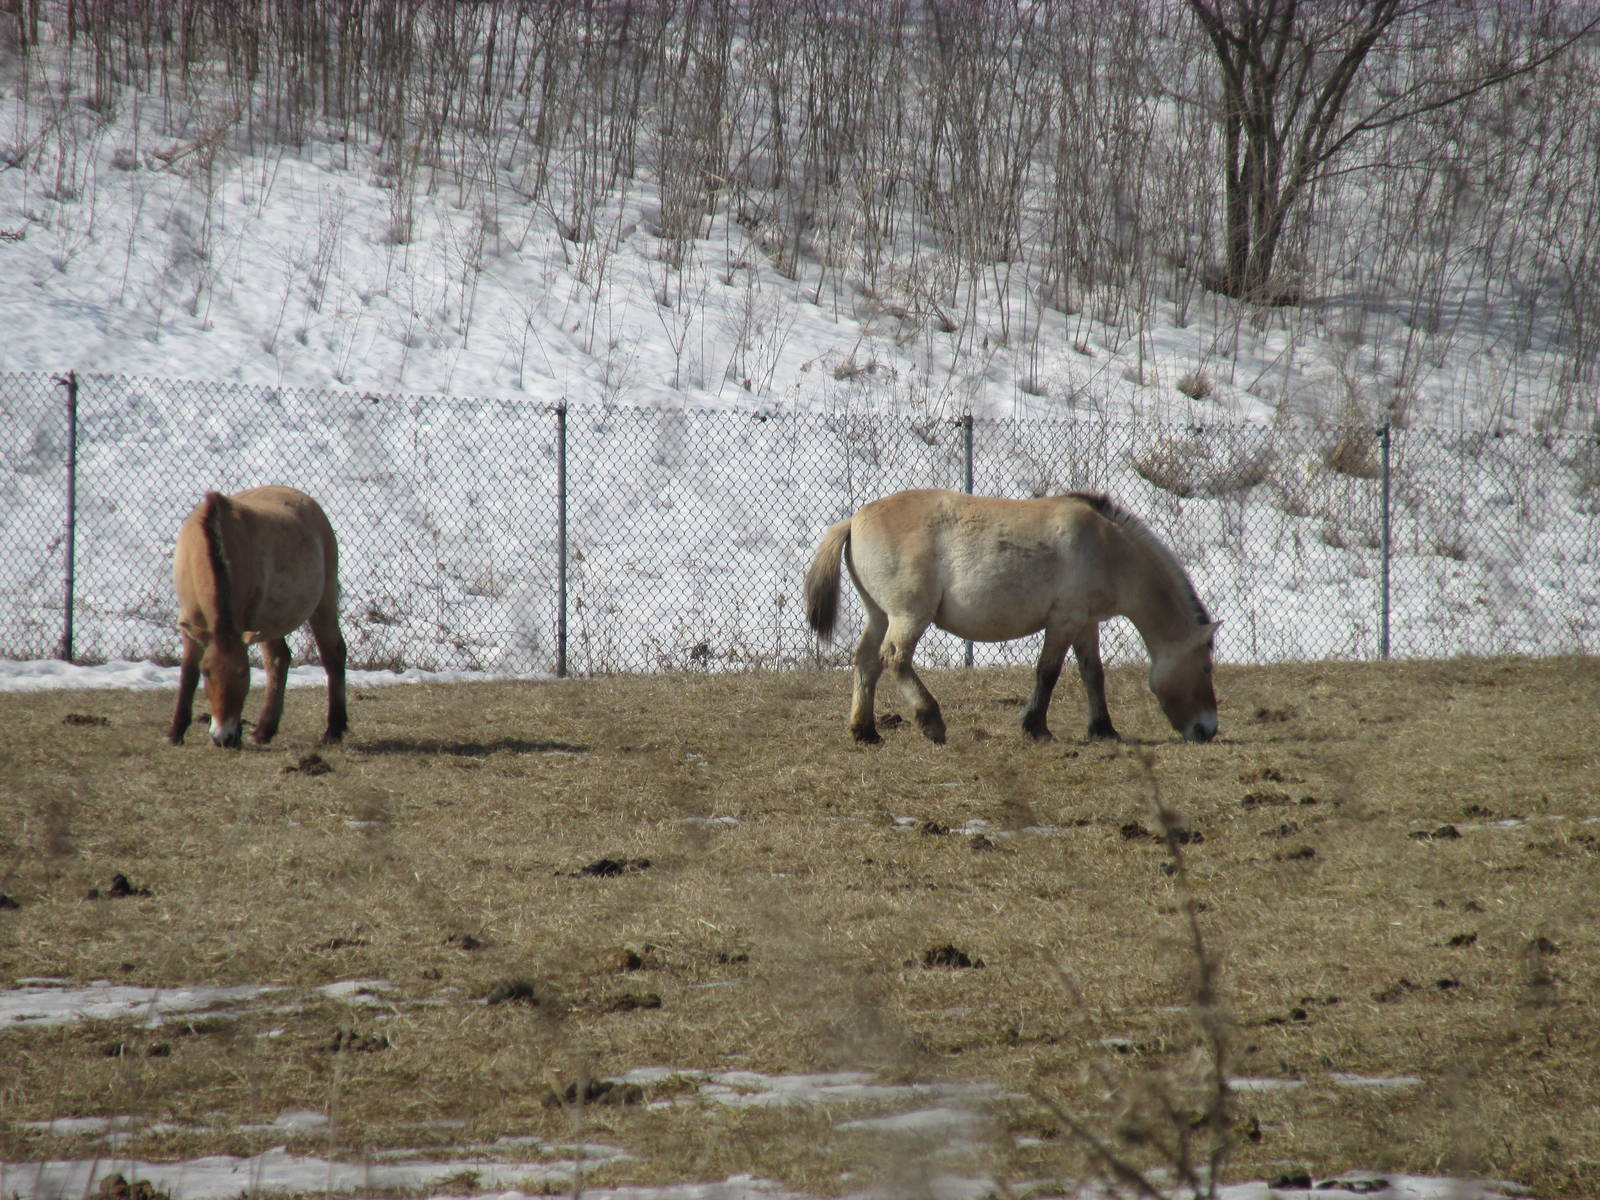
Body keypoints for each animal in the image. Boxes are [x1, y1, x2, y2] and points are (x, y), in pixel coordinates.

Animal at [168, 486, 348, 749]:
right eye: (207, 672)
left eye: (244, 672)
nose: (223, 737)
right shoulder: (191, 620)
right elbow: (188, 674)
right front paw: (175, 732)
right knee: (280, 659)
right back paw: (264, 730)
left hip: (322, 603)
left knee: (331, 654)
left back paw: (333, 729)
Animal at [804, 489, 1219, 745]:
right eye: (1205, 668)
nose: (1208, 729)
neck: (1108, 548)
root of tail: (854, 520)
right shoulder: (1064, 620)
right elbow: (1048, 672)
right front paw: (1035, 727)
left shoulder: (1085, 622)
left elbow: (1093, 674)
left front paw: (1103, 729)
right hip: (908, 616)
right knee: (895, 659)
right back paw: (931, 721)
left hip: (880, 615)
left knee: (867, 663)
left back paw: (865, 732)